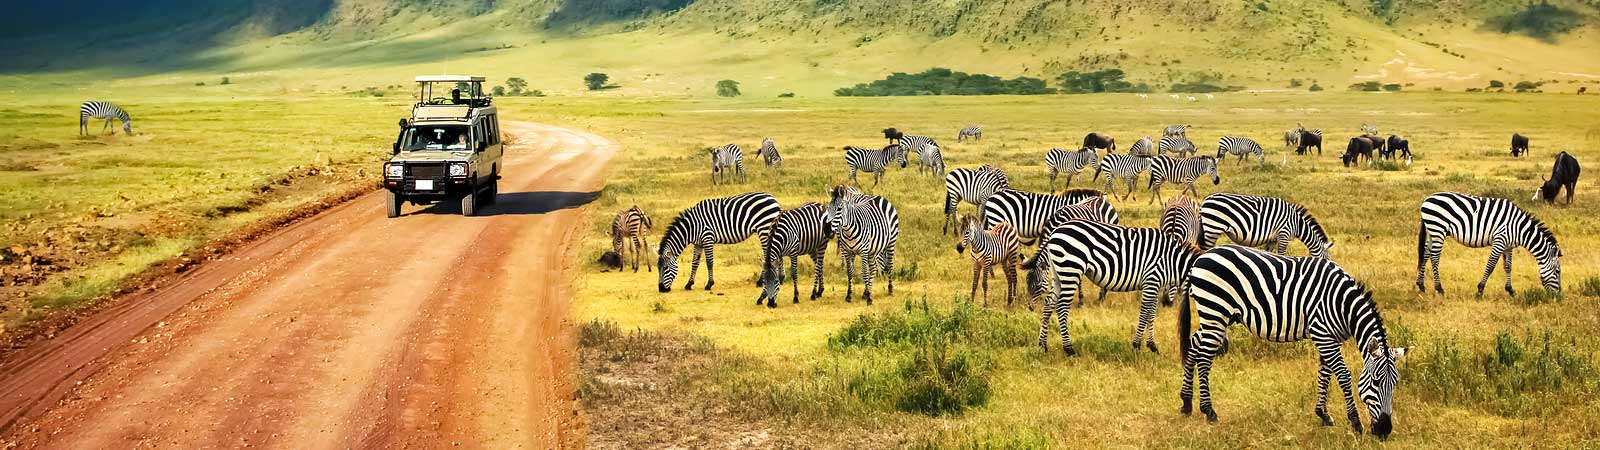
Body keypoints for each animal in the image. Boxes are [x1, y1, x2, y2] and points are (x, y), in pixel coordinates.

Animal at [1024, 217, 1203, 353]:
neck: (1172, 260)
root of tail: (1056, 230)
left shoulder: (1156, 285)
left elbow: (1152, 313)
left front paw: (1152, 345)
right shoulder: (1151, 280)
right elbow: (1145, 312)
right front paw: (1137, 345)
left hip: (1058, 273)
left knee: (1049, 303)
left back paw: (1042, 345)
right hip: (1071, 268)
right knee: (1061, 307)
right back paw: (1069, 349)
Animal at [1177, 243, 1414, 435]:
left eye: (1395, 383)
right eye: (1376, 382)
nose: (1384, 431)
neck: (1343, 305)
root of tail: (1200, 259)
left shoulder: (1329, 338)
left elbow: (1325, 373)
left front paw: (1323, 414)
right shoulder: (1323, 334)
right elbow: (1343, 376)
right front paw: (1355, 422)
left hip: (1217, 316)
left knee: (1194, 344)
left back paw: (1187, 403)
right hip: (1215, 310)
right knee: (1204, 357)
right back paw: (1209, 411)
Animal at [1196, 193, 1331, 259]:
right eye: (1328, 258)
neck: (1297, 223)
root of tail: (1205, 201)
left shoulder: (1272, 239)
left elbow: (1269, 254)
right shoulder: (1284, 234)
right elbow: (1282, 254)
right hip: (1213, 228)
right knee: (1204, 249)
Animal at [1420, 190, 1555, 296]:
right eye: (1557, 272)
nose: (1556, 296)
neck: (1519, 228)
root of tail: (1427, 199)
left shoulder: (1508, 245)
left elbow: (1508, 266)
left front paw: (1510, 290)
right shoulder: (1500, 240)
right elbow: (1491, 266)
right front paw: (1480, 291)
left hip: (1432, 230)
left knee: (1426, 253)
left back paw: (1421, 285)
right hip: (1438, 228)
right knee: (1434, 257)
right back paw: (1439, 289)